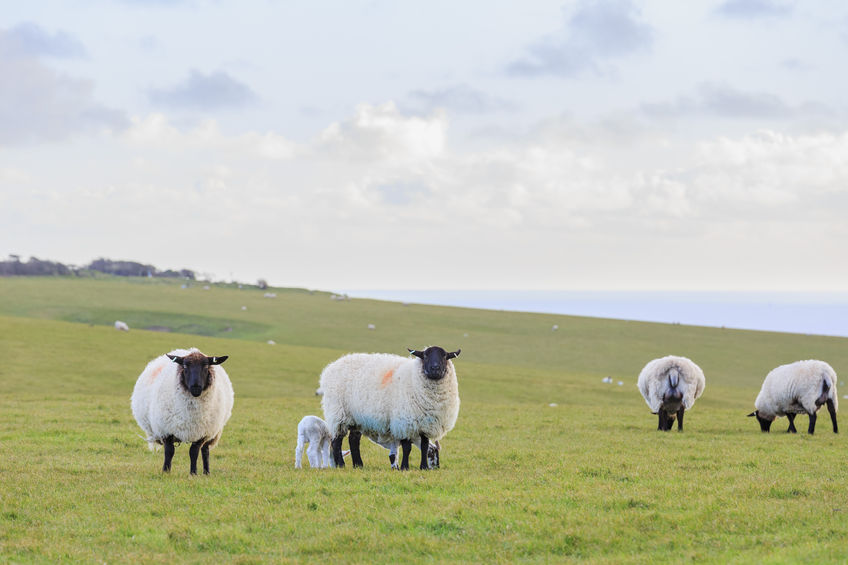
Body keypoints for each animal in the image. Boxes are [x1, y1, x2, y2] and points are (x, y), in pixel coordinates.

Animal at [130, 346, 234, 474]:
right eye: (185, 366)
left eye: (206, 366)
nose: (196, 387)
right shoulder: (166, 430)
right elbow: (169, 452)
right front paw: (166, 471)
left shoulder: (202, 433)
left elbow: (194, 452)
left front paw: (193, 473)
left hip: (212, 431)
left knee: (205, 451)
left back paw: (206, 472)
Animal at [320, 346, 464, 470]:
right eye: (425, 356)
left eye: (445, 356)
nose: (435, 368)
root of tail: (331, 367)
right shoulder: (404, 422)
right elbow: (407, 447)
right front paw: (405, 467)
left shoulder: (425, 425)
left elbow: (424, 446)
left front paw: (423, 467)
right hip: (338, 414)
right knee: (336, 441)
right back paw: (341, 465)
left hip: (357, 418)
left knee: (353, 440)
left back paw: (358, 465)